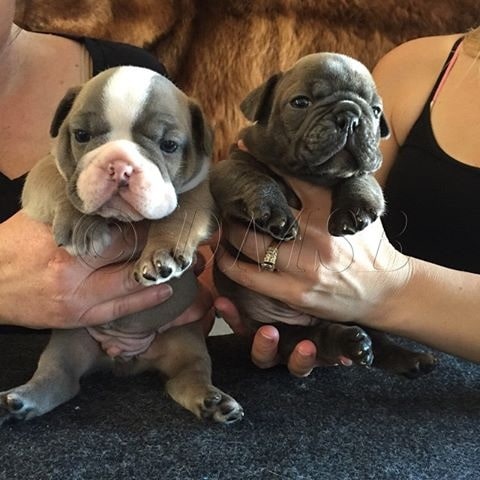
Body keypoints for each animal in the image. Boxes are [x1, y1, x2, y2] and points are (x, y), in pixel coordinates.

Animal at [0, 65, 244, 426]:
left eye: (169, 145)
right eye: (81, 135)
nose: (120, 166)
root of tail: (124, 359)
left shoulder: (199, 192)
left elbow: (180, 212)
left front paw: (162, 255)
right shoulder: (42, 173)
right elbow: (60, 184)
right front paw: (82, 224)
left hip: (185, 341)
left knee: (188, 376)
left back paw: (213, 402)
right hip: (69, 343)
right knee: (59, 376)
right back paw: (19, 400)